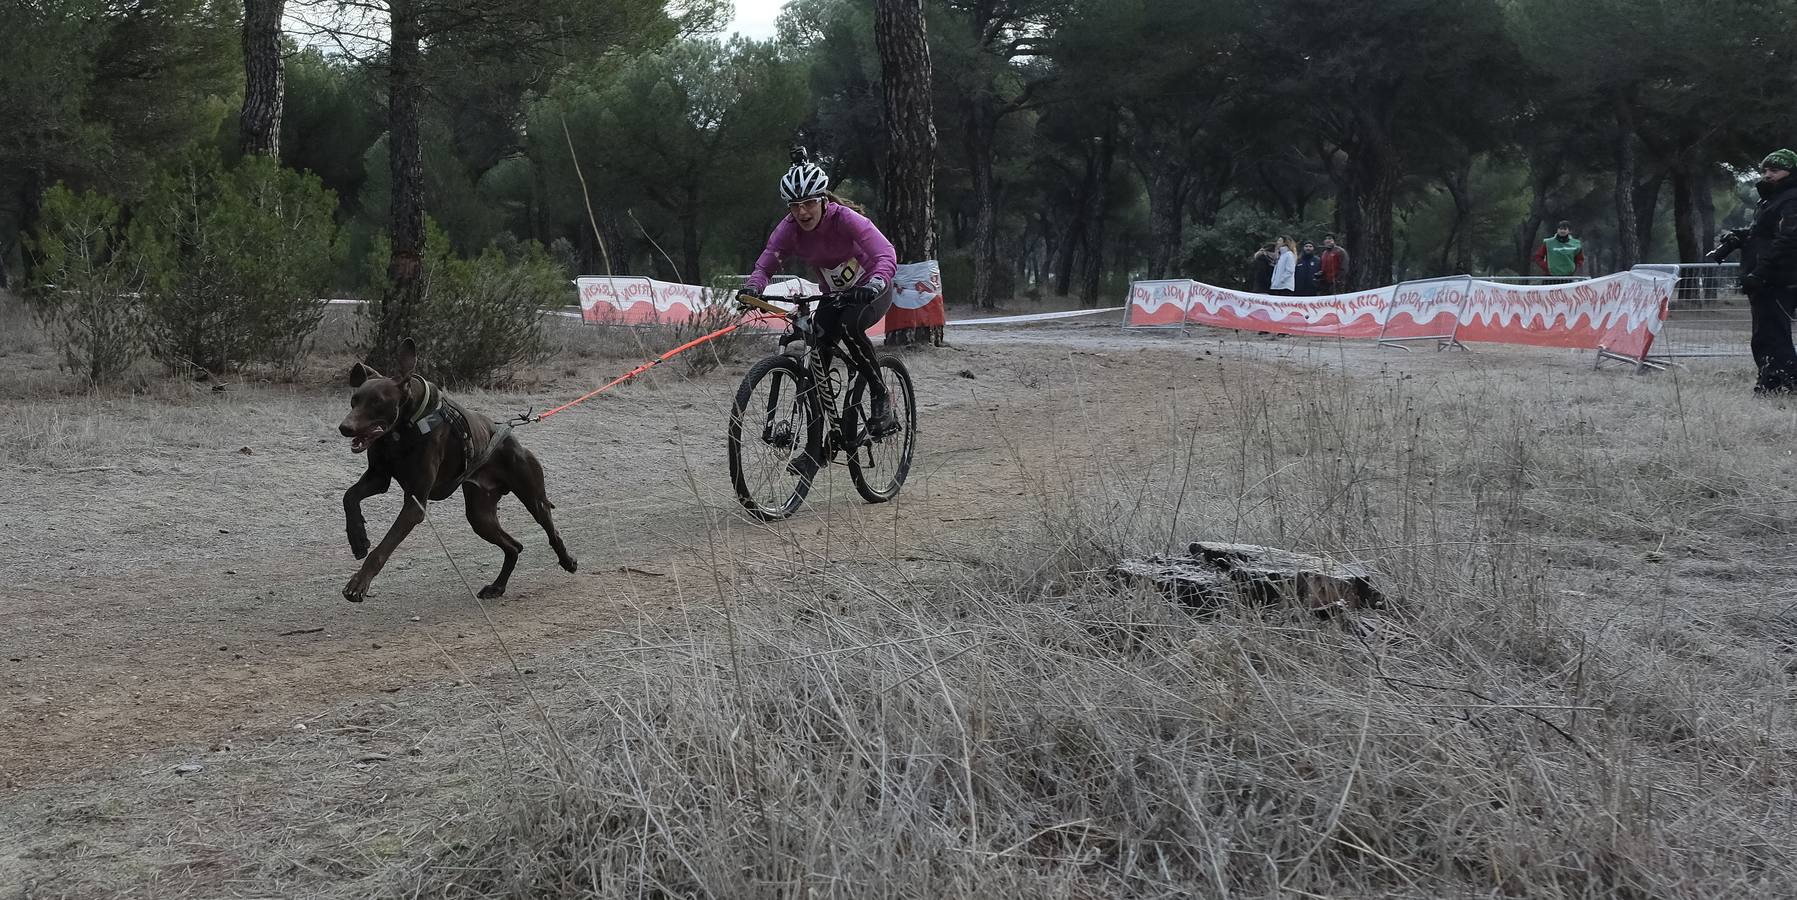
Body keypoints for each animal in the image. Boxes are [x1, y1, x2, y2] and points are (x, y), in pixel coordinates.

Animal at [337, 337, 575, 603]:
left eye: (377, 401)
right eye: (354, 400)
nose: (344, 427)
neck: (402, 430)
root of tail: (512, 438)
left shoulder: (414, 503)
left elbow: (383, 548)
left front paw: (359, 583)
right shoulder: (379, 478)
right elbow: (349, 497)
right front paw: (358, 539)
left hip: (533, 498)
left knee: (552, 532)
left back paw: (568, 561)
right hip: (480, 516)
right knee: (514, 547)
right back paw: (497, 587)